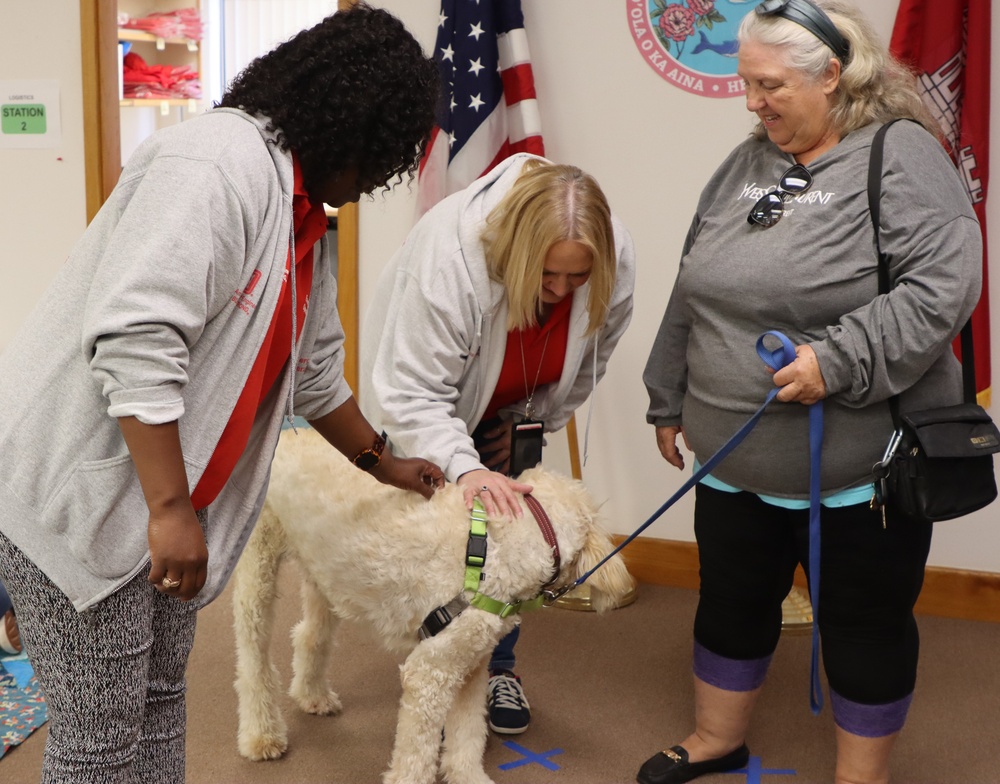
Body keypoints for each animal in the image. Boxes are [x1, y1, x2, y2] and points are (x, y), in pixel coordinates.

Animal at [232, 428, 632, 784]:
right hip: (257, 571)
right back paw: (262, 735)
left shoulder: (471, 669)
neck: (507, 544)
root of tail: (286, 434)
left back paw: (312, 696)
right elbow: (416, 756)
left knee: (309, 636)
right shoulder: (429, 675)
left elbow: (468, 737)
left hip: (327, 577)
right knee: (253, 661)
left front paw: (469, 778)